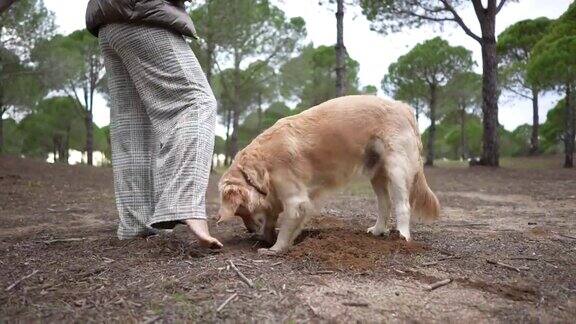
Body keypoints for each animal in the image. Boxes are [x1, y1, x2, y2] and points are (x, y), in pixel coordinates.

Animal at [218, 95, 438, 254]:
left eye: (241, 211)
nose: (249, 230)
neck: (262, 164)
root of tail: (404, 107)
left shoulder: (295, 200)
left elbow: (286, 226)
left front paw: (275, 248)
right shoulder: (278, 198)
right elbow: (274, 220)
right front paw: (267, 237)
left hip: (396, 169)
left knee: (403, 205)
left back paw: (402, 236)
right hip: (376, 173)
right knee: (385, 204)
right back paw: (377, 230)